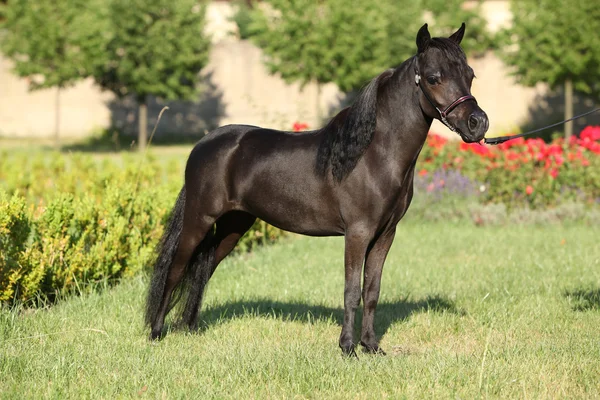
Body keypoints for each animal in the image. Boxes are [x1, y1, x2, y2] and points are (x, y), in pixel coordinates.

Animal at [145, 23, 488, 354]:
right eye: (433, 78)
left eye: (470, 75)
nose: (478, 123)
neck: (372, 154)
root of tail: (203, 144)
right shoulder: (358, 232)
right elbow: (351, 291)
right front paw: (348, 347)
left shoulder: (385, 235)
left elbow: (371, 291)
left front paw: (371, 346)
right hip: (199, 221)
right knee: (175, 269)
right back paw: (156, 332)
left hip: (234, 226)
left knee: (203, 270)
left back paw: (189, 328)